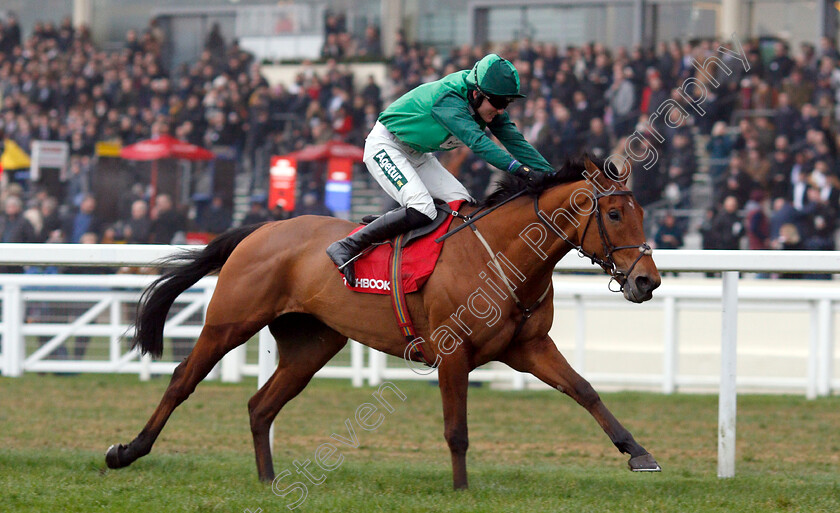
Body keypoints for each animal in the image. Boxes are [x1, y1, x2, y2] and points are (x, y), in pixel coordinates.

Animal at [105, 155, 664, 488]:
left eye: (641, 212)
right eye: (615, 215)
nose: (647, 282)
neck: (502, 256)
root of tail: (261, 228)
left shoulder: (529, 347)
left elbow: (585, 390)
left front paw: (638, 453)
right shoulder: (454, 353)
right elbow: (456, 428)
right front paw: (462, 489)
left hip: (310, 345)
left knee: (261, 405)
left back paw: (267, 480)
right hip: (229, 322)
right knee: (183, 379)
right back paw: (127, 451)